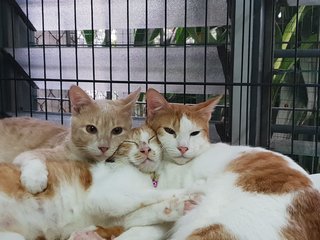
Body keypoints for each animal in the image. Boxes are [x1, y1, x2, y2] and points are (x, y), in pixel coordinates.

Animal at [0, 85, 140, 194]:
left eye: (117, 130)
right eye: (91, 129)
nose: (104, 147)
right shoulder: (28, 154)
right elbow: (32, 156)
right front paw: (34, 178)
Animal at [0, 125, 188, 240]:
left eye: (151, 139)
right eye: (130, 142)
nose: (145, 149)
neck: (146, 176)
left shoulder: (110, 214)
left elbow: (138, 215)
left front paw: (173, 209)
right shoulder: (102, 197)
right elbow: (148, 195)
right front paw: (185, 193)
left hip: (15, 237)